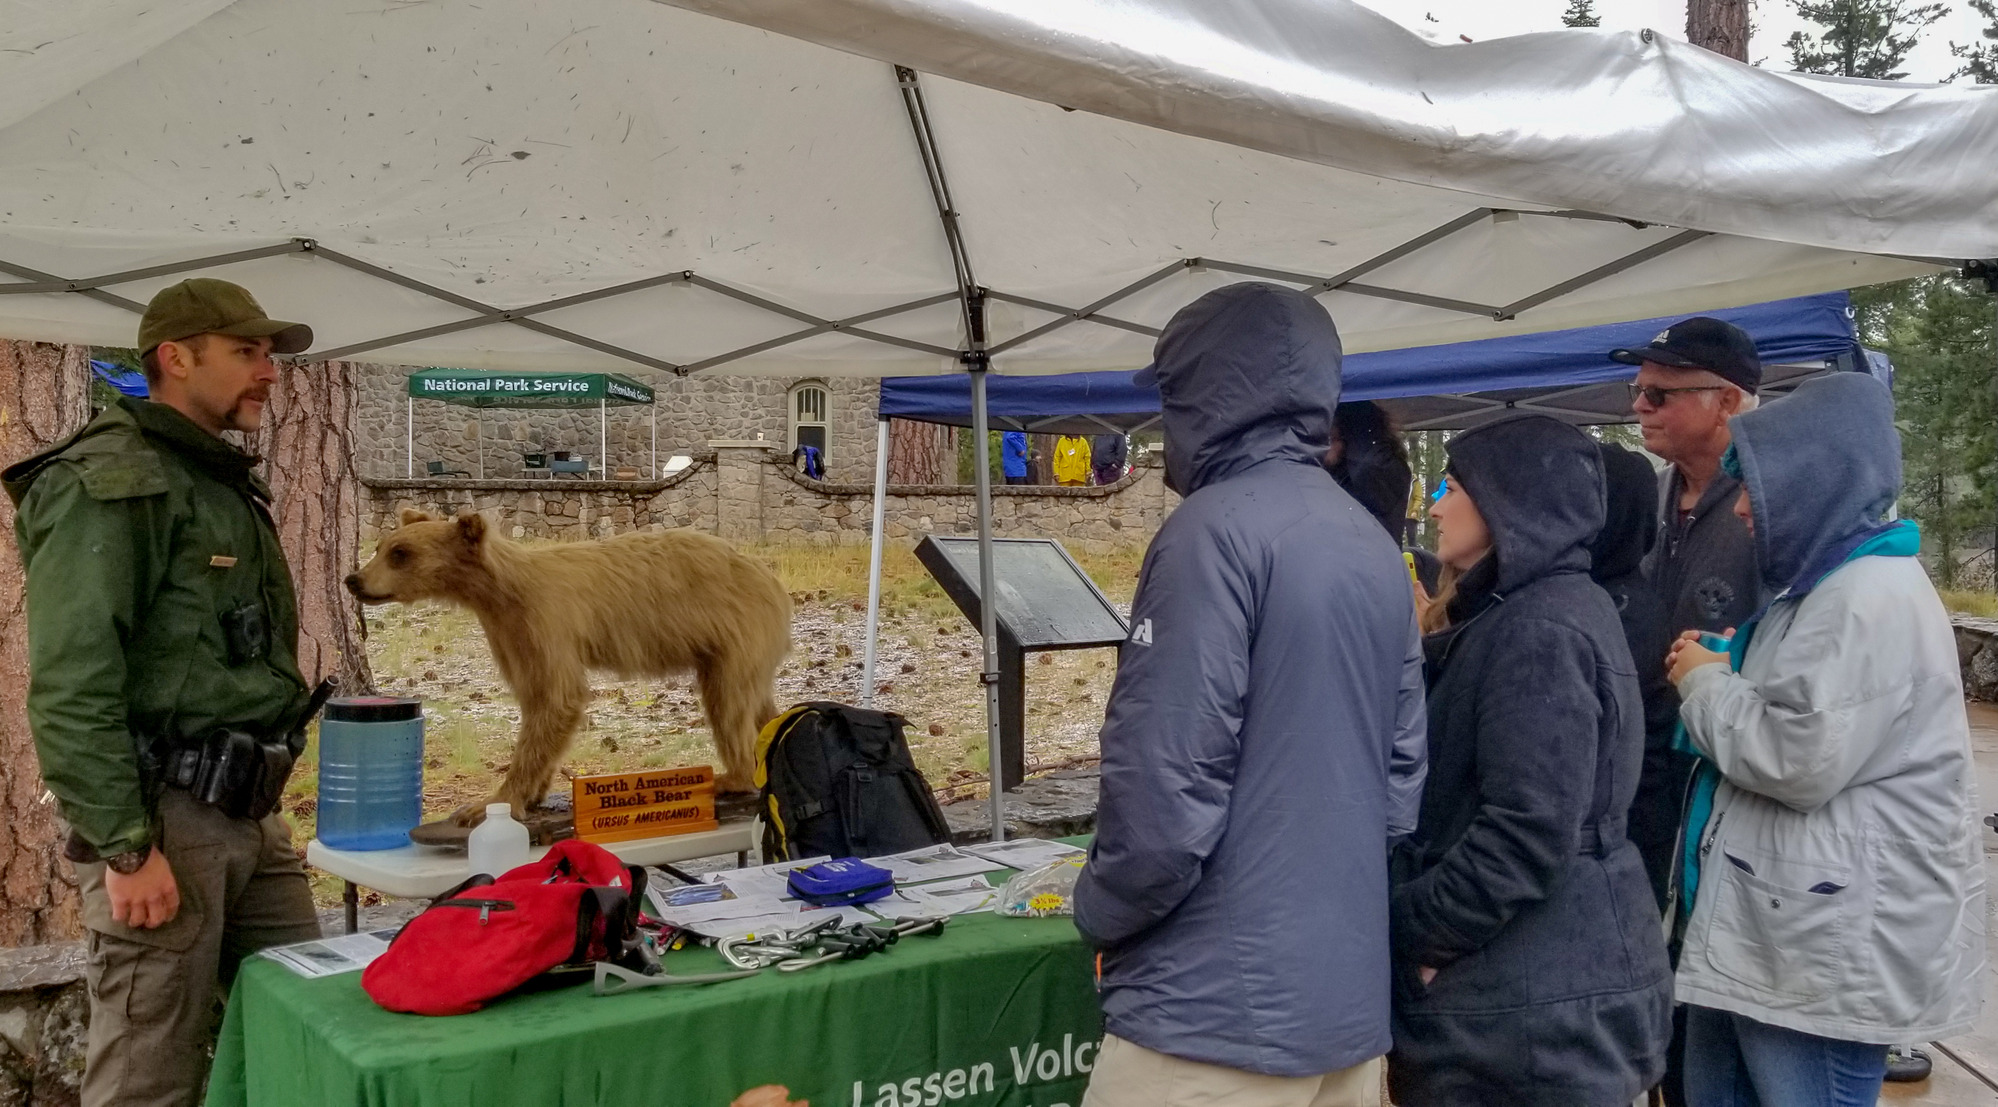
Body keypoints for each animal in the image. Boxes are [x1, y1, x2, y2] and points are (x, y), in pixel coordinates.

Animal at [346, 510, 792, 819]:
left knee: (727, 702)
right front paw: (535, 791)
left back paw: (729, 776)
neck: (499, 593)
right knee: (758, 702)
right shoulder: (509, 635)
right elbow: (535, 699)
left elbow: (559, 696)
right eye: (382, 546)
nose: (354, 580)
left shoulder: (546, 620)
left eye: (400, 554)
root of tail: (774, 582)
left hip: (735, 633)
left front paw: (490, 802)